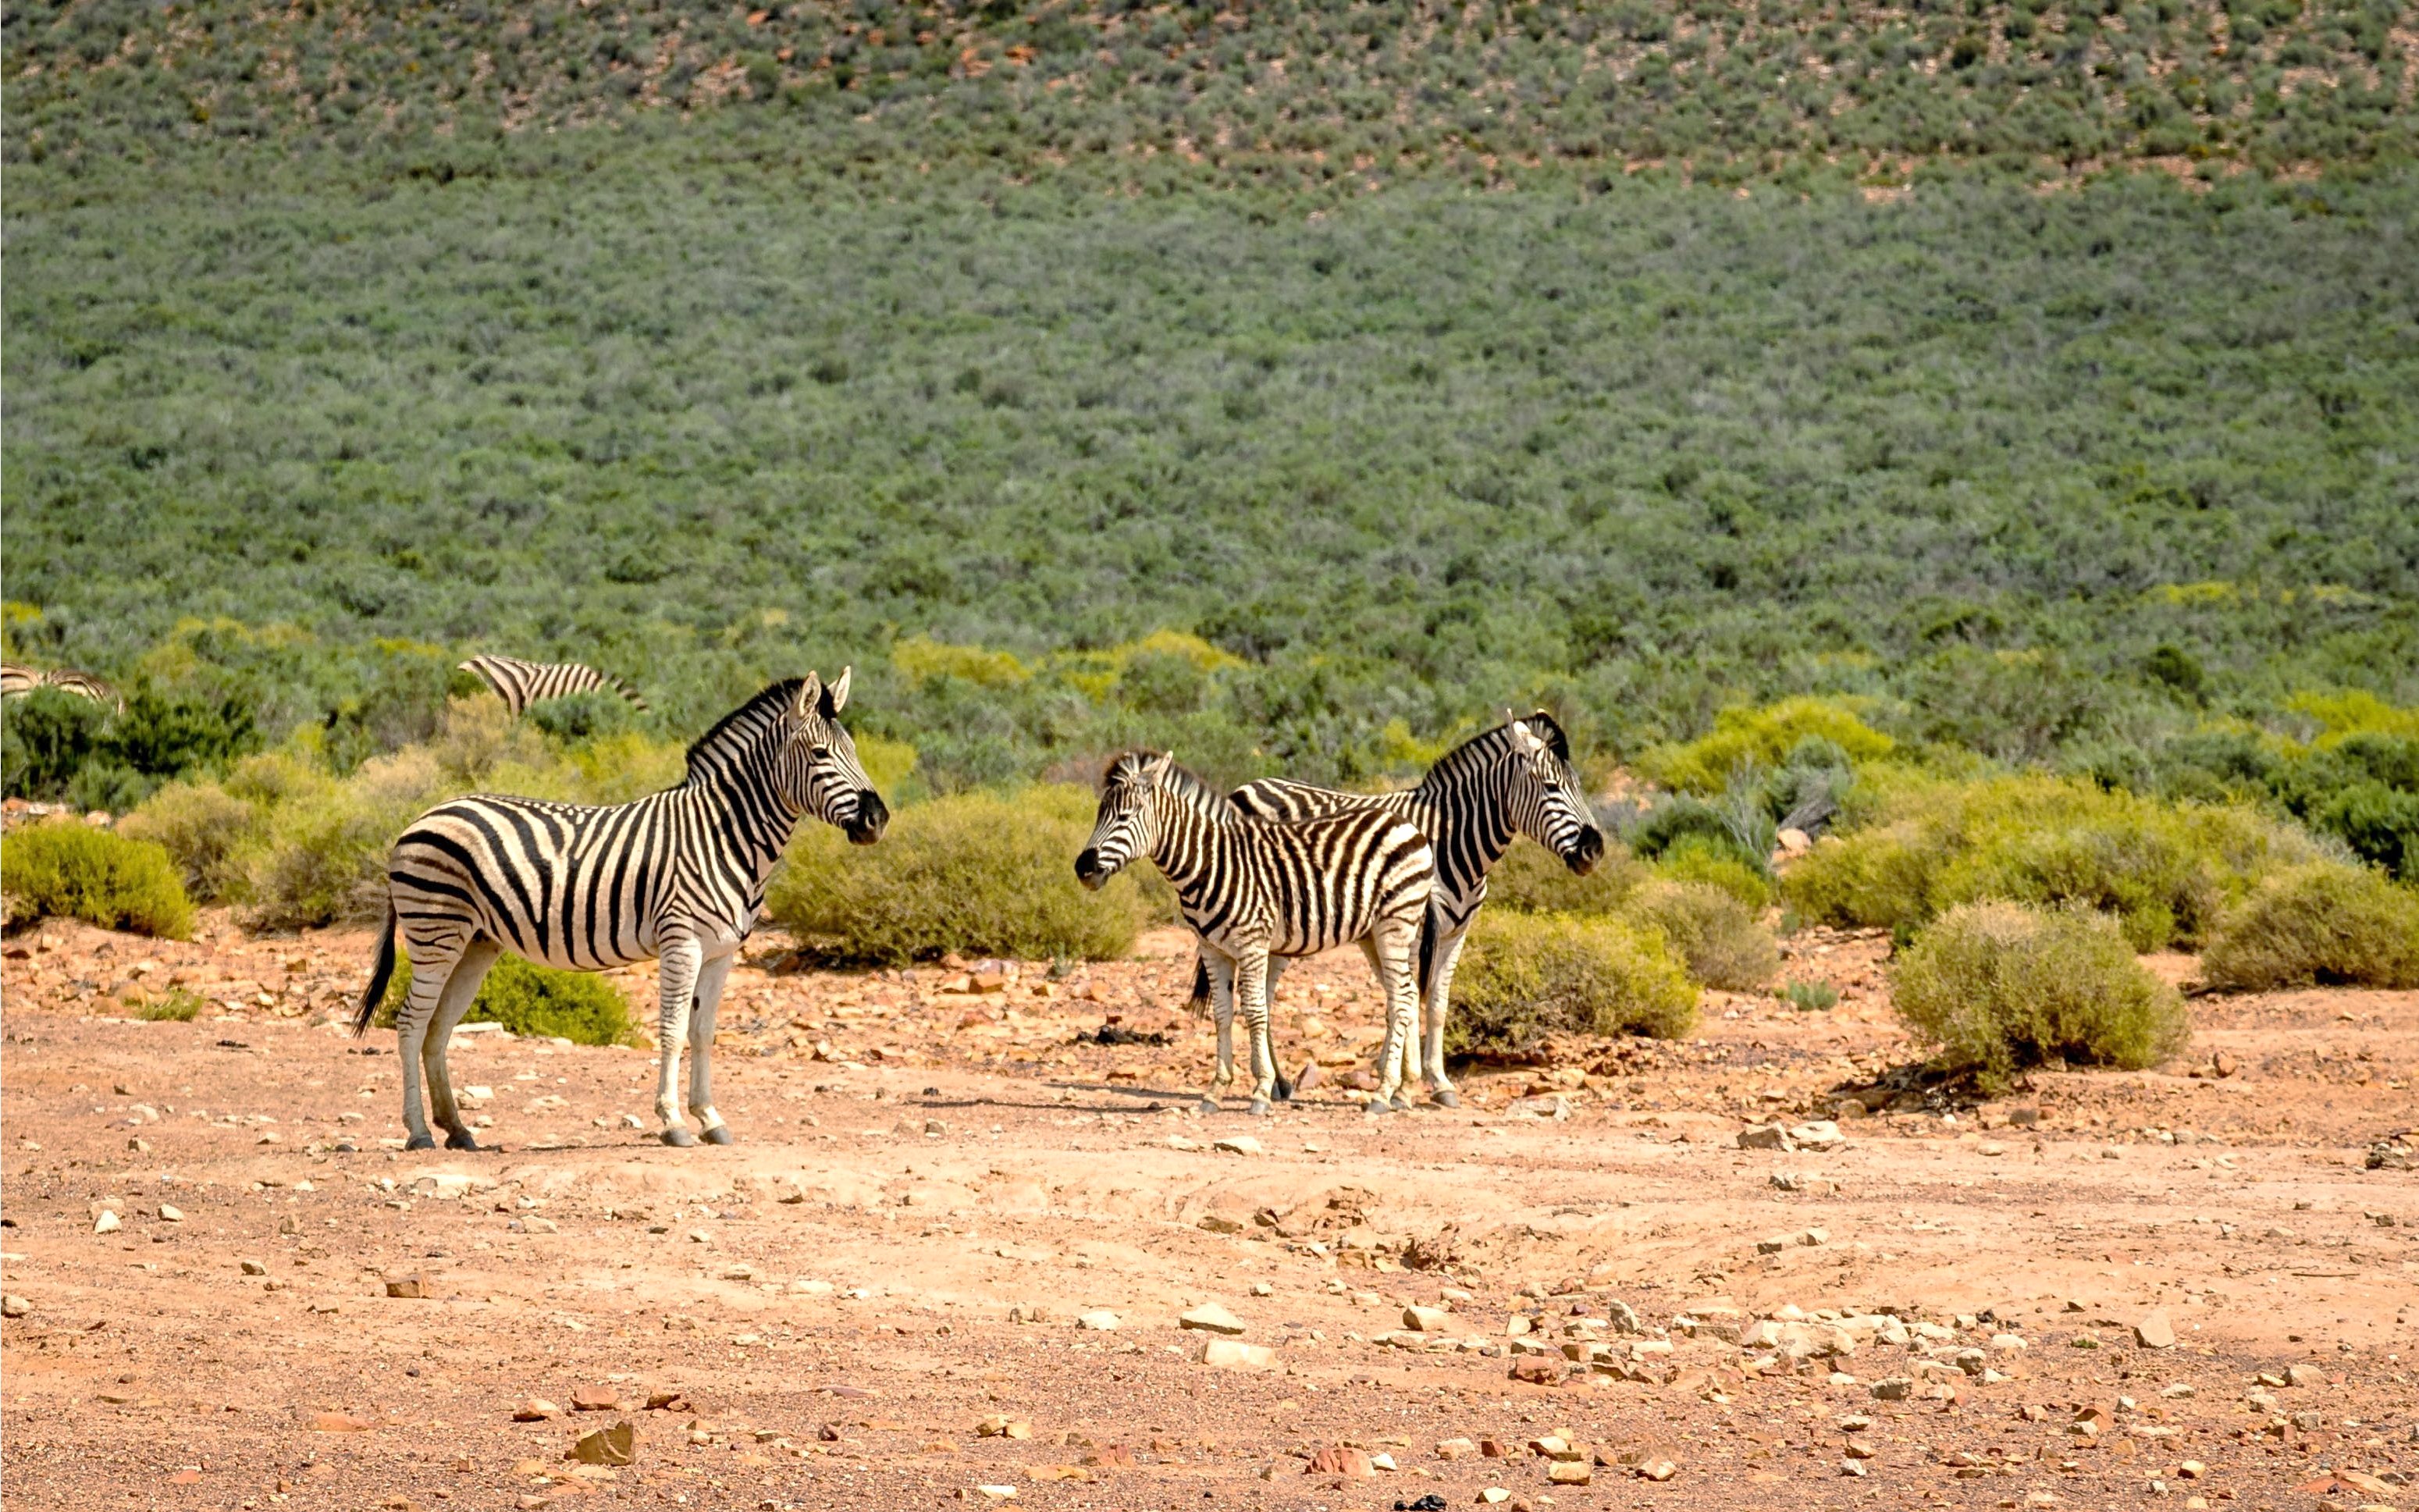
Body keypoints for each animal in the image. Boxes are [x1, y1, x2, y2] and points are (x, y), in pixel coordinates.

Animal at [352, 671, 887, 1150]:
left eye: (856, 752)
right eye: (820, 754)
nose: (877, 820)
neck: (726, 836)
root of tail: (419, 818)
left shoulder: (721, 952)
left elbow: (704, 1033)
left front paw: (710, 1119)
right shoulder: (681, 942)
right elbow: (672, 1031)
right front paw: (673, 1123)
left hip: (476, 943)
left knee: (438, 1028)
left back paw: (458, 1130)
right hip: (435, 933)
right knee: (410, 1023)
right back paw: (419, 1133)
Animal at [1075, 750, 1436, 1116]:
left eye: (1125, 816)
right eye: (1099, 814)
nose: (1082, 868)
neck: (1209, 864)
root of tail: (1405, 824)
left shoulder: (1252, 944)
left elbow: (1255, 1011)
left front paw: (1262, 1090)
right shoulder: (1212, 949)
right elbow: (1221, 1014)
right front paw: (1215, 1091)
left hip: (1396, 923)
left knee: (1402, 995)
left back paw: (1383, 1093)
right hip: (1374, 934)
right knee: (1404, 993)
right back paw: (1404, 1088)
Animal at [1187, 712, 1603, 1107]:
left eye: (1580, 787)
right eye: (1551, 787)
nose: (1594, 849)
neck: (1451, 840)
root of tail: (1247, 786)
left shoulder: (1455, 934)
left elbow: (1435, 1003)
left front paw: (1437, 1082)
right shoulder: (1412, 929)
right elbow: (1406, 998)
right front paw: (1403, 1084)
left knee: (1267, 995)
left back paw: (1280, 1084)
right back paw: (1276, 1082)